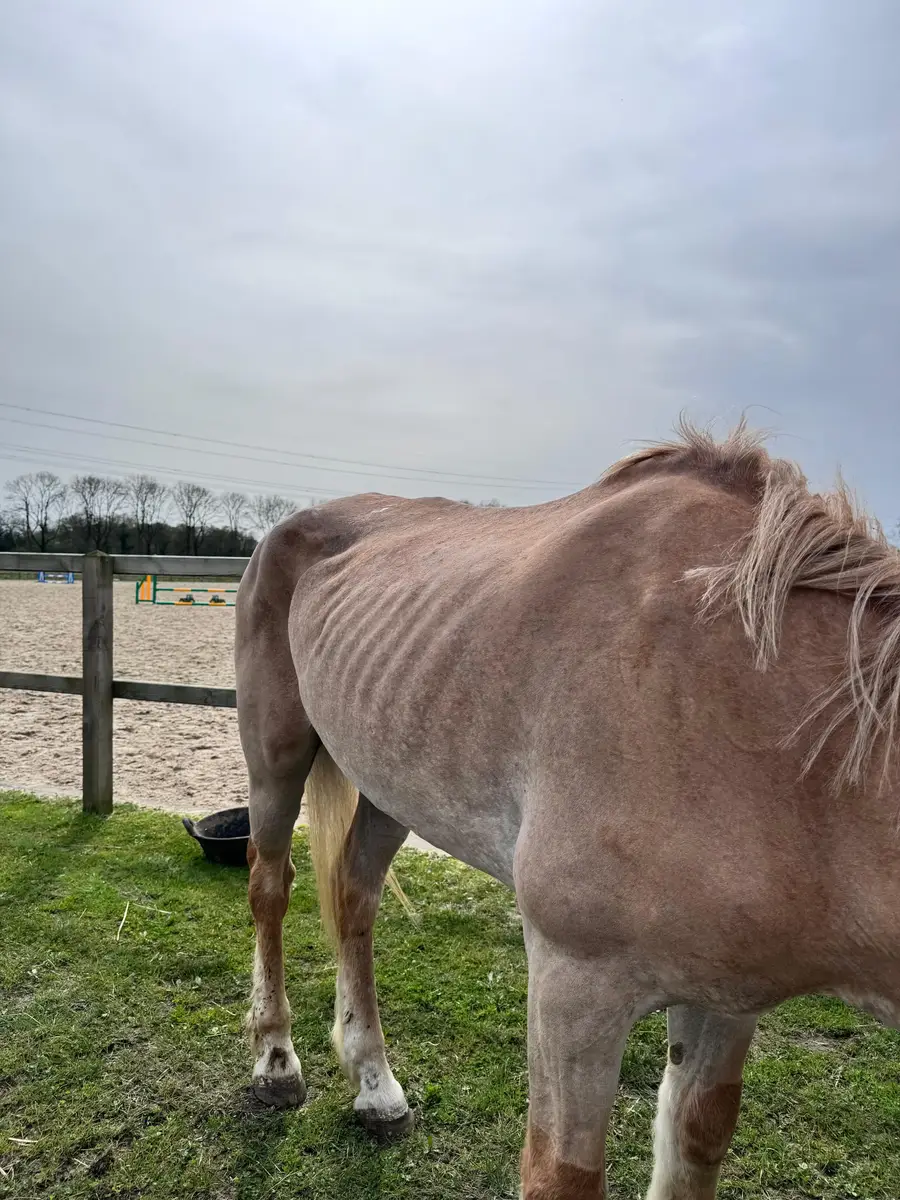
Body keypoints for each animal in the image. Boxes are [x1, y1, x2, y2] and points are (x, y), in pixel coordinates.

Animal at [235, 420, 900, 1199]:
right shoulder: (574, 989)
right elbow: (561, 1175)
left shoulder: (726, 999)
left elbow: (695, 1140)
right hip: (275, 758)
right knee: (269, 887)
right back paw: (276, 1062)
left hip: (389, 781)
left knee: (353, 895)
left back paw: (375, 1085)